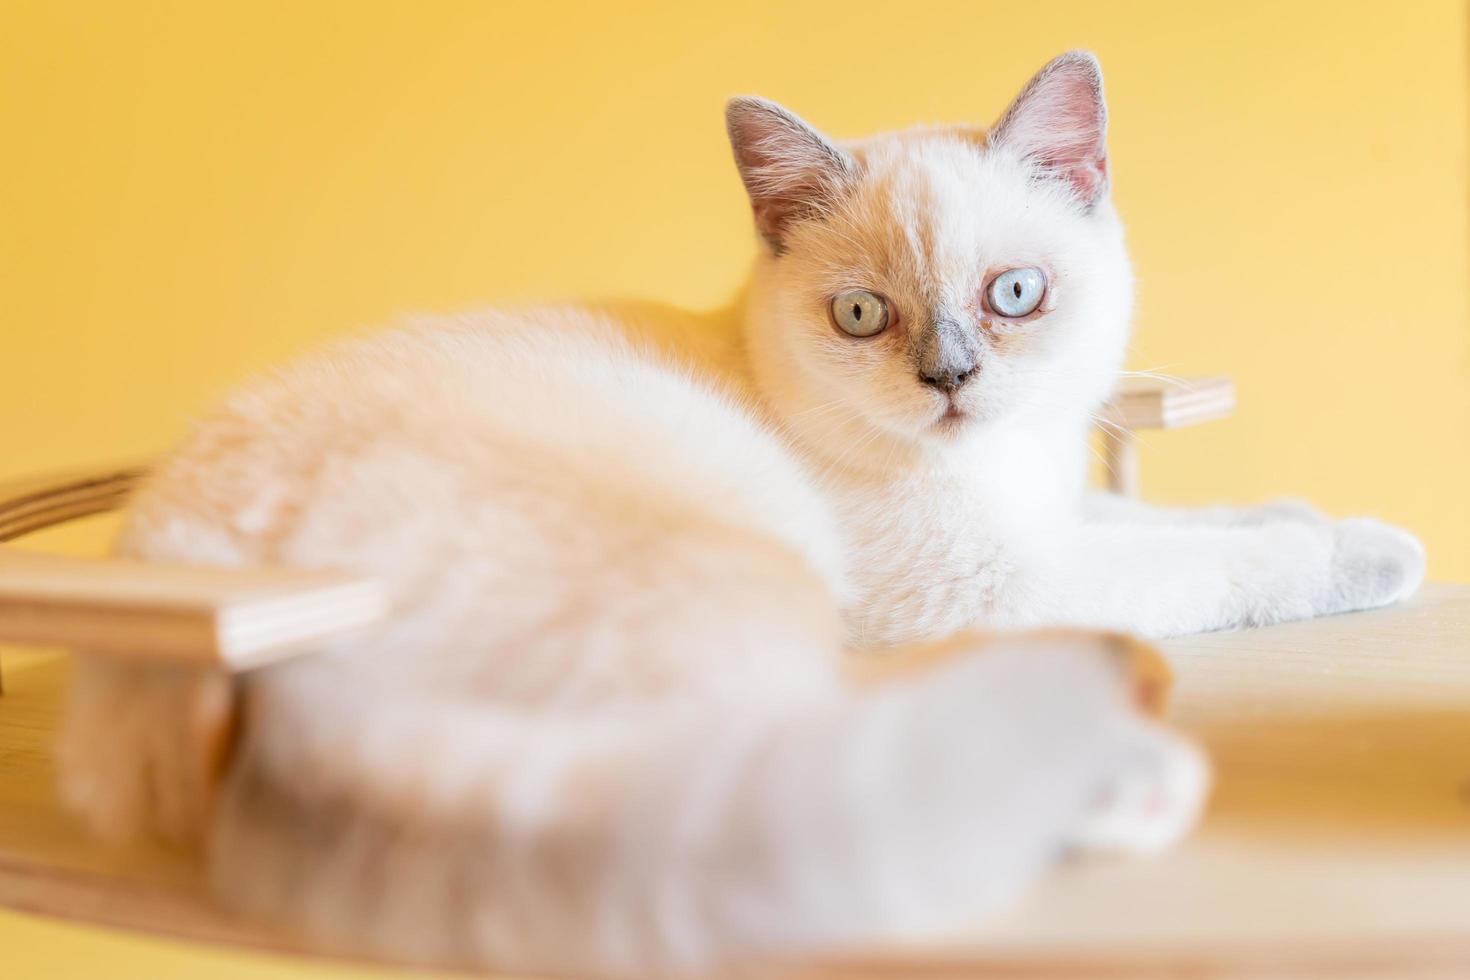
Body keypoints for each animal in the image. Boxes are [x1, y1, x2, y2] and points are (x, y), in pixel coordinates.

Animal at [57, 53, 1411, 980]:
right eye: (863, 316)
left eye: (1015, 294)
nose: (952, 379)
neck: (995, 470)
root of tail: (237, 633)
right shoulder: (991, 576)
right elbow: (1217, 559)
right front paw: (1358, 547)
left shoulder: (1049, 516)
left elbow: (1189, 512)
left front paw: (1340, 517)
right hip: (758, 584)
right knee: (804, 773)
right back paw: (1115, 767)